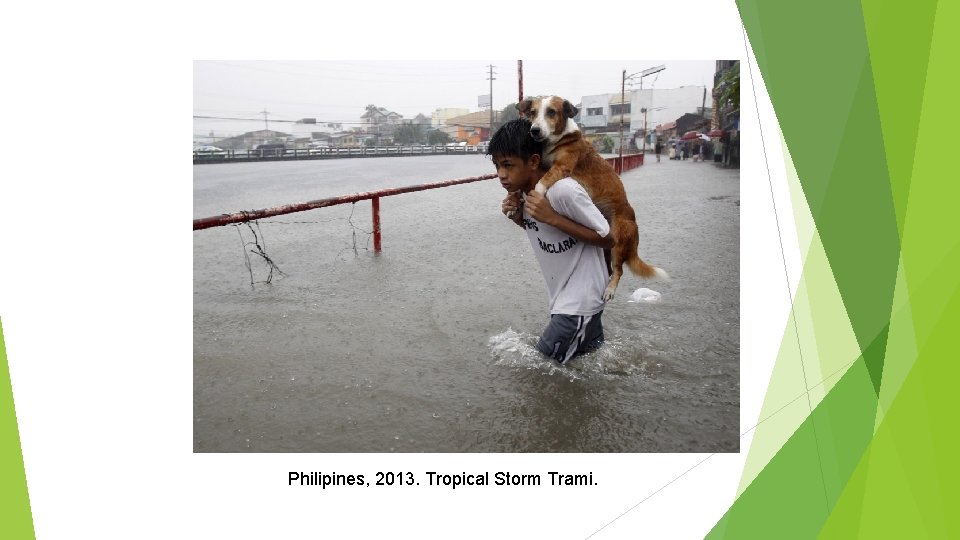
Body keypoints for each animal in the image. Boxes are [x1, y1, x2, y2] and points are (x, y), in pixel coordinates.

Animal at [516, 95, 668, 302]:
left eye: (551, 112)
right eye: (532, 112)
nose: (534, 130)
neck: (558, 139)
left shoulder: (561, 167)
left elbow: (541, 182)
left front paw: (536, 197)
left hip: (618, 242)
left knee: (619, 270)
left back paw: (610, 289)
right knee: (610, 267)